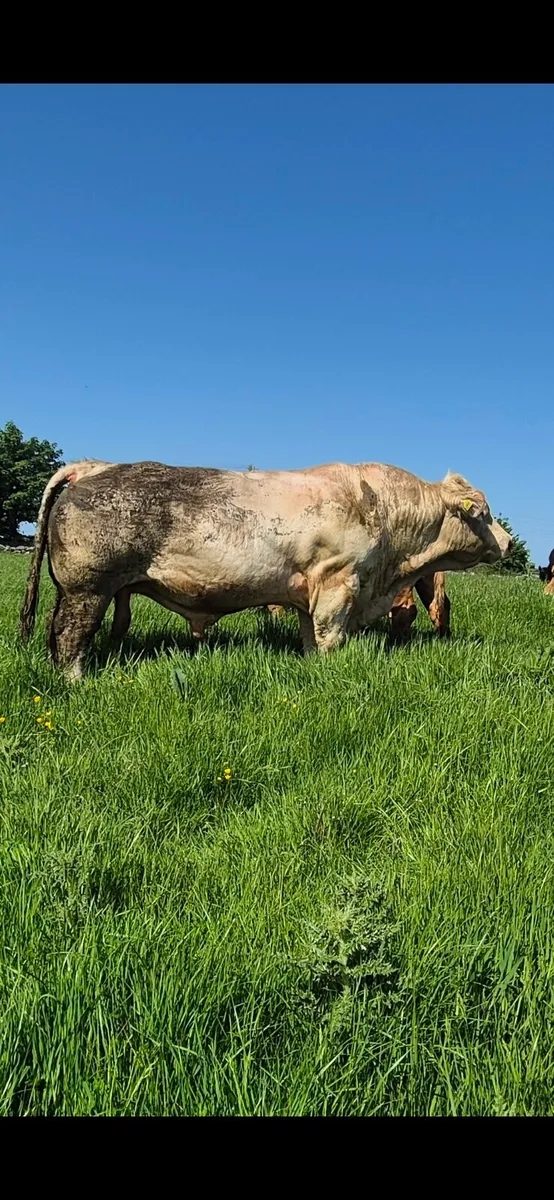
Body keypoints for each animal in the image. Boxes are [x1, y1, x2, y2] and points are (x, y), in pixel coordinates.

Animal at [19, 459, 512, 679]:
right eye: (485, 513)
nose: (508, 542)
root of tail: (95, 466)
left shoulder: (309, 591)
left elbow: (310, 636)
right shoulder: (338, 583)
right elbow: (331, 636)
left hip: (73, 590)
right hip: (88, 589)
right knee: (70, 636)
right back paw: (77, 681)